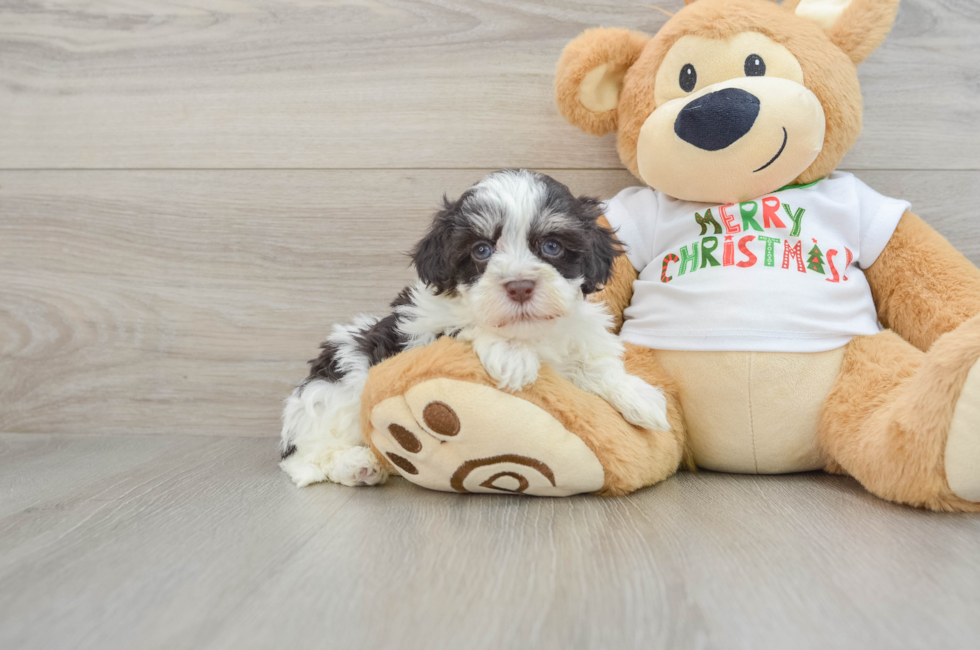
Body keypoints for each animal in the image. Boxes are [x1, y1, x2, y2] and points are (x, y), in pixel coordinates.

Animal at [280, 171, 668, 486]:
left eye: (552, 246)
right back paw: (356, 465)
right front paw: (512, 356)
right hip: (338, 384)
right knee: (305, 458)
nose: (520, 287)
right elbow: (468, 326)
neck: (528, 331)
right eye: (481, 250)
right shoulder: (421, 331)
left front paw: (640, 396)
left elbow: (597, 366)